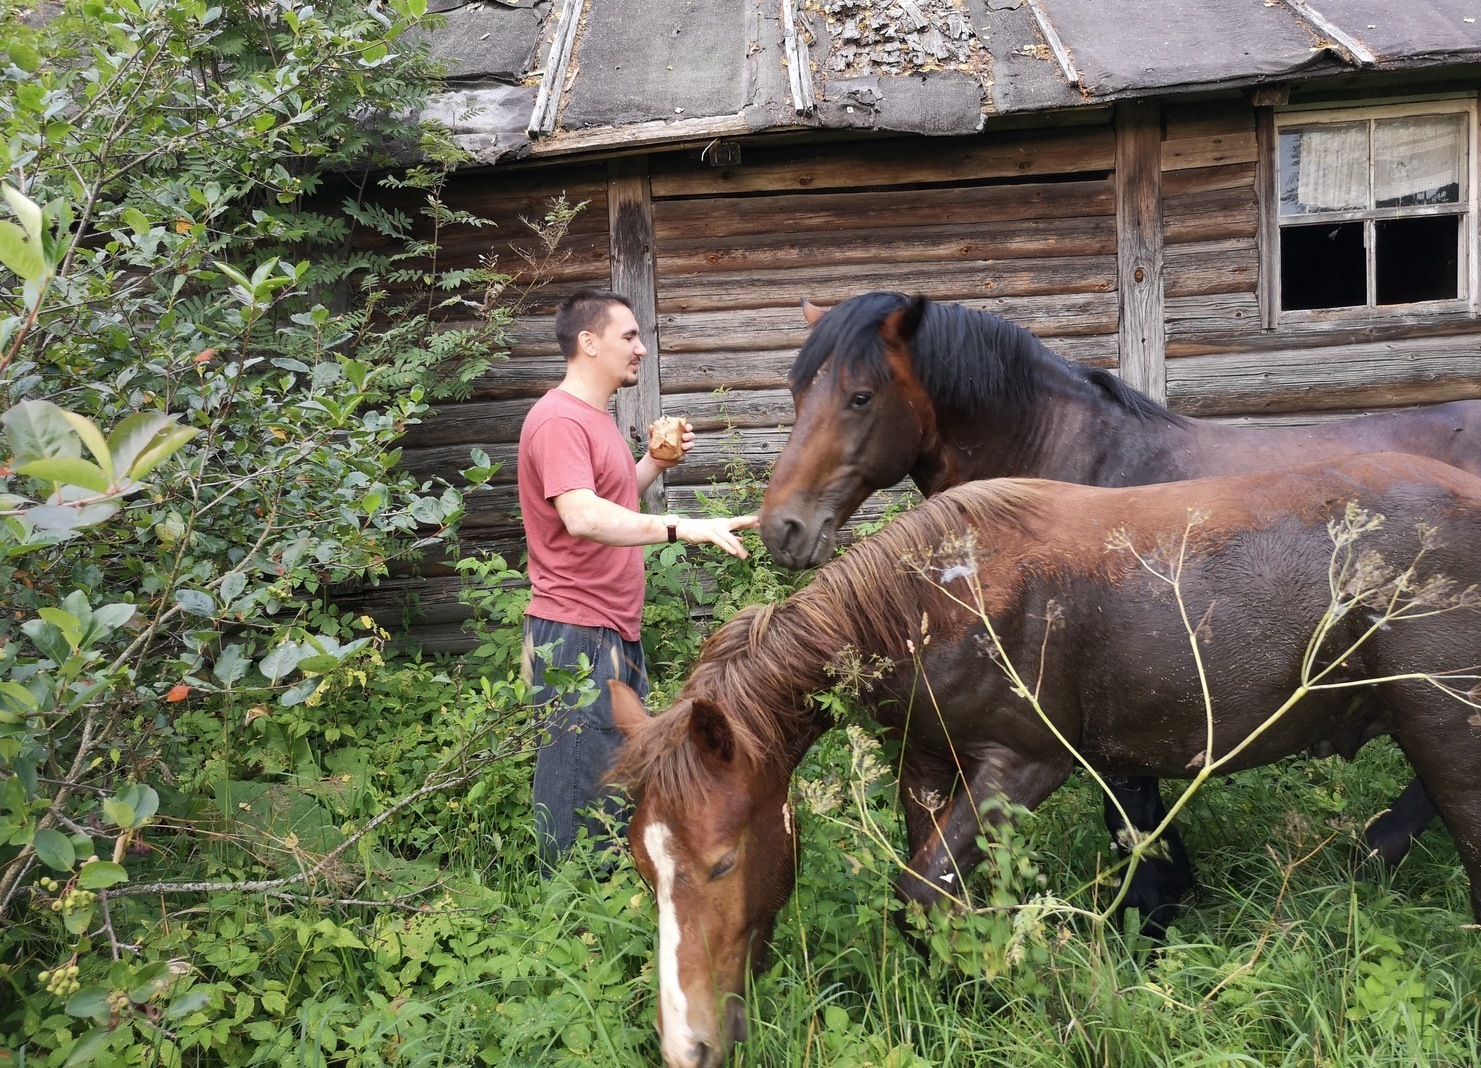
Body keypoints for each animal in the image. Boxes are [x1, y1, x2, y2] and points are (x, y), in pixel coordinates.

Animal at [619, 453, 1481, 1066]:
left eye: (723, 863)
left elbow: (920, 893)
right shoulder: (924, 767)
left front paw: (1013, 991)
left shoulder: (1020, 768)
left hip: (1447, 724)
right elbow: (938, 899)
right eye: (643, 870)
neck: (930, 599)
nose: (687, 1046)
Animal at [758, 291, 1481, 936]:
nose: (782, 528)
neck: (1077, 461)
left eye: (859, 397)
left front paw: (1155, 913)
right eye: (794, 394)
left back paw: (1377, 847)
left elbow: (1132, 813)